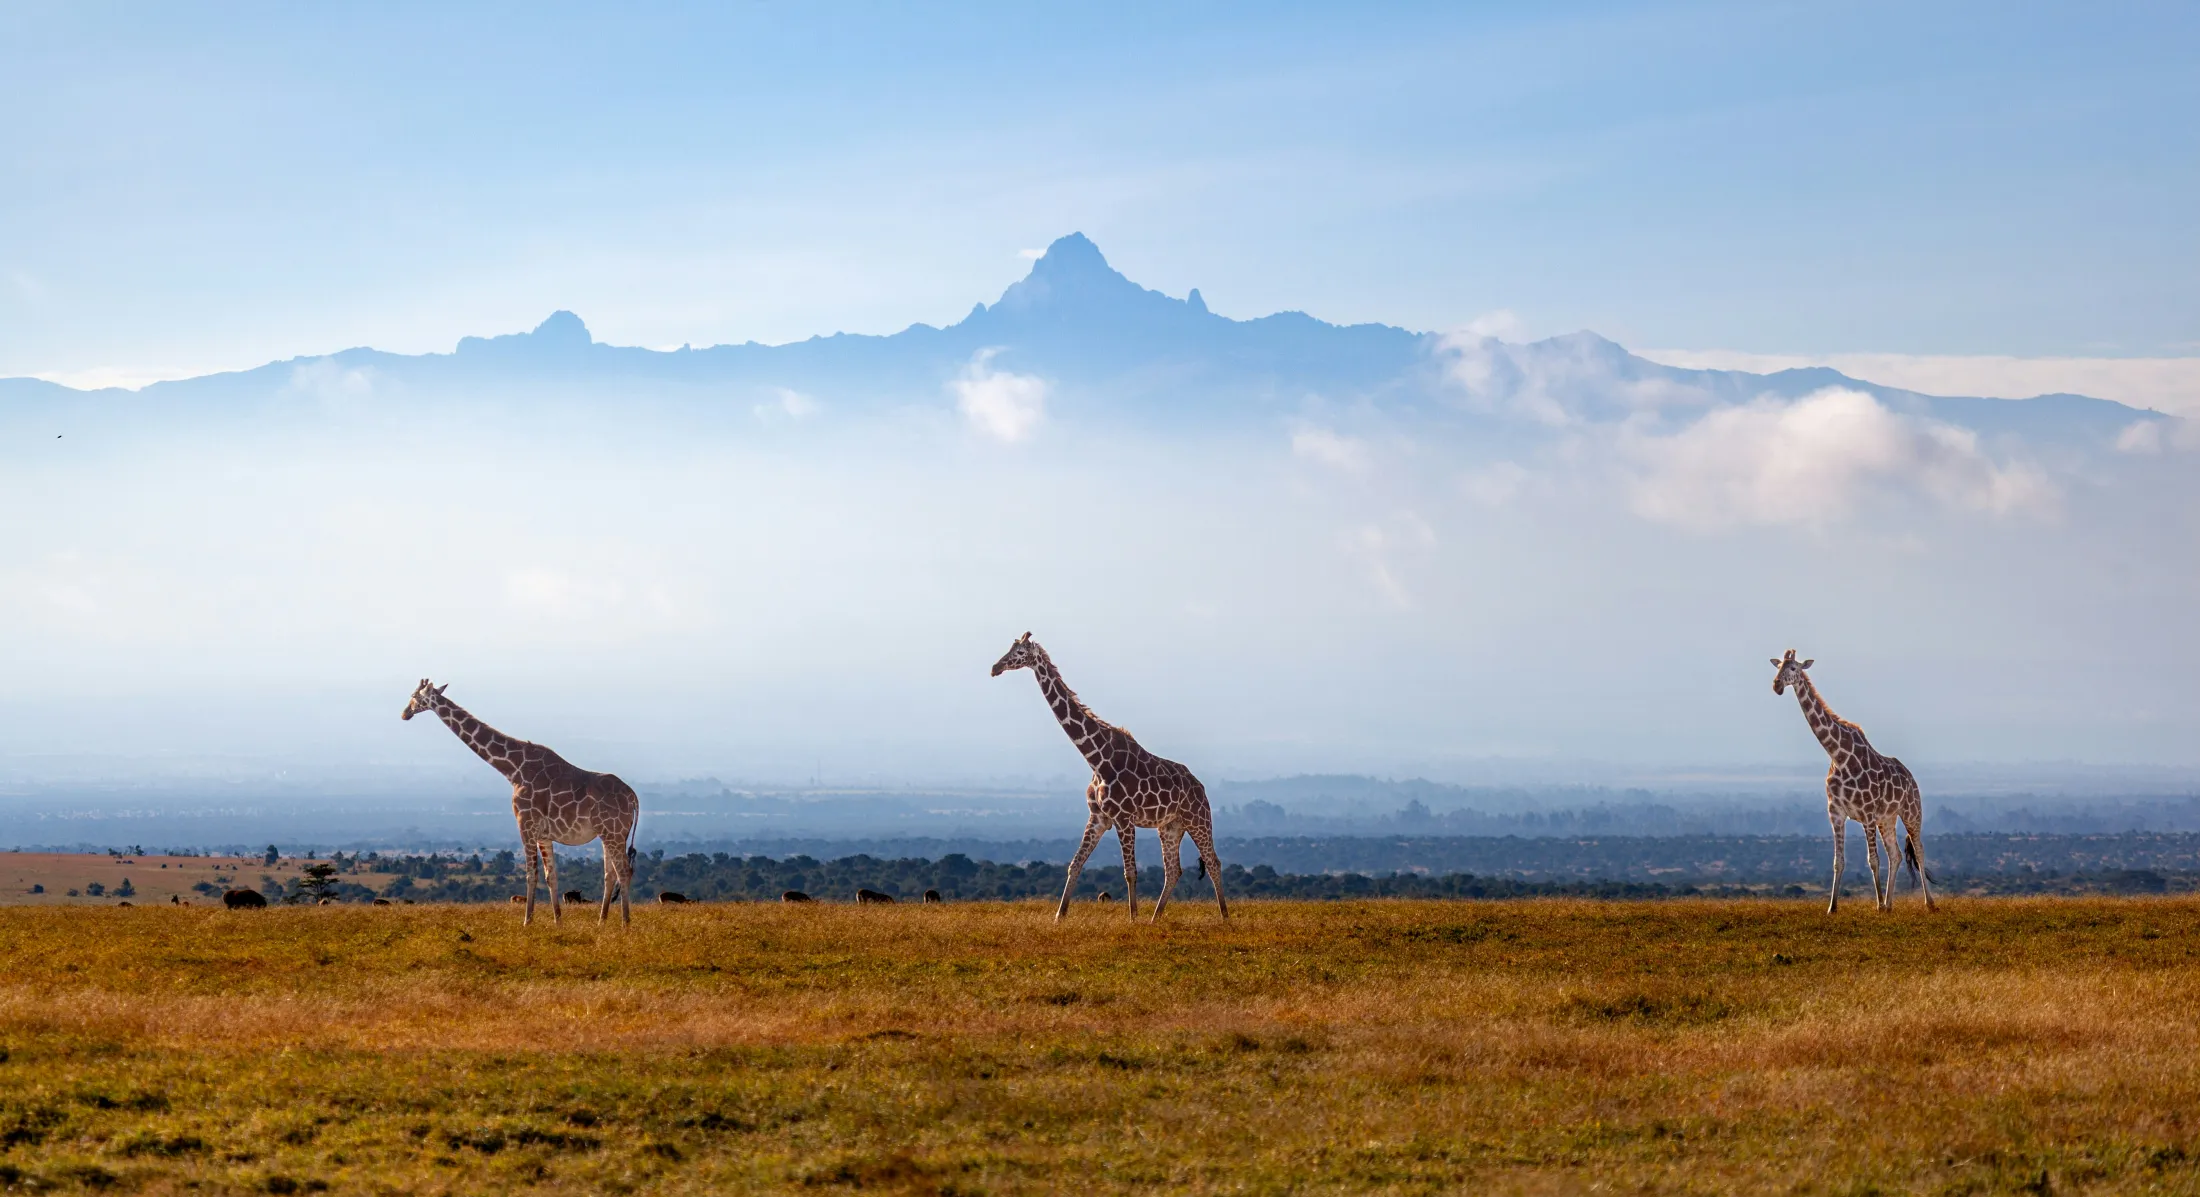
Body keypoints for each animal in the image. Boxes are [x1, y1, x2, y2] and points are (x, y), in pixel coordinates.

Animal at [402, 680, 639, 925]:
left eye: (414, 696)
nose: (405, 713)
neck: (514, 769)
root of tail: (633, 797)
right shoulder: (544, 834)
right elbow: (551, 876)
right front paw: (558, 921)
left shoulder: (525, 823)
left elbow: (530, 874)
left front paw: (527, 921)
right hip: (608, 834)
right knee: (610, 874)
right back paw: (601, 922)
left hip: (613, 832)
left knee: (624, 871)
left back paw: (625, 923)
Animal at [990, 633, 1228, 923]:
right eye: (1010, 647)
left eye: (1020, 652)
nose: (995, 668)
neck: (1096, 759)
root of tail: (1200, 786)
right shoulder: (1098, 817)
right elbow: (1075, 864)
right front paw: (1059, 916)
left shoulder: (1123, 818)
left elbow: (1130, 872)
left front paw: (1133, 919)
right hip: (1170, 826)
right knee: (1173, 870)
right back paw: (1155, 919)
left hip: (1198, 819)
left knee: (1213, 861)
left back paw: (1224, 916)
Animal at [1771, 651, 1936, 913]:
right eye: (1777, 667)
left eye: (1794, 667)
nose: (1776, 686)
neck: (1838, 755)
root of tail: (1911, 777)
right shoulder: (1836, 813)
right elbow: (1838, 861)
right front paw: (1832, 908)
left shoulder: (1866, 813)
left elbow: (1873, 860)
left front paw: (1877, 905)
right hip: (1887, 819)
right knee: (1896, 854)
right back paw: (1890, 904)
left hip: (1911, 811)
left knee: (1918, 851)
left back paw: (1928, 903)